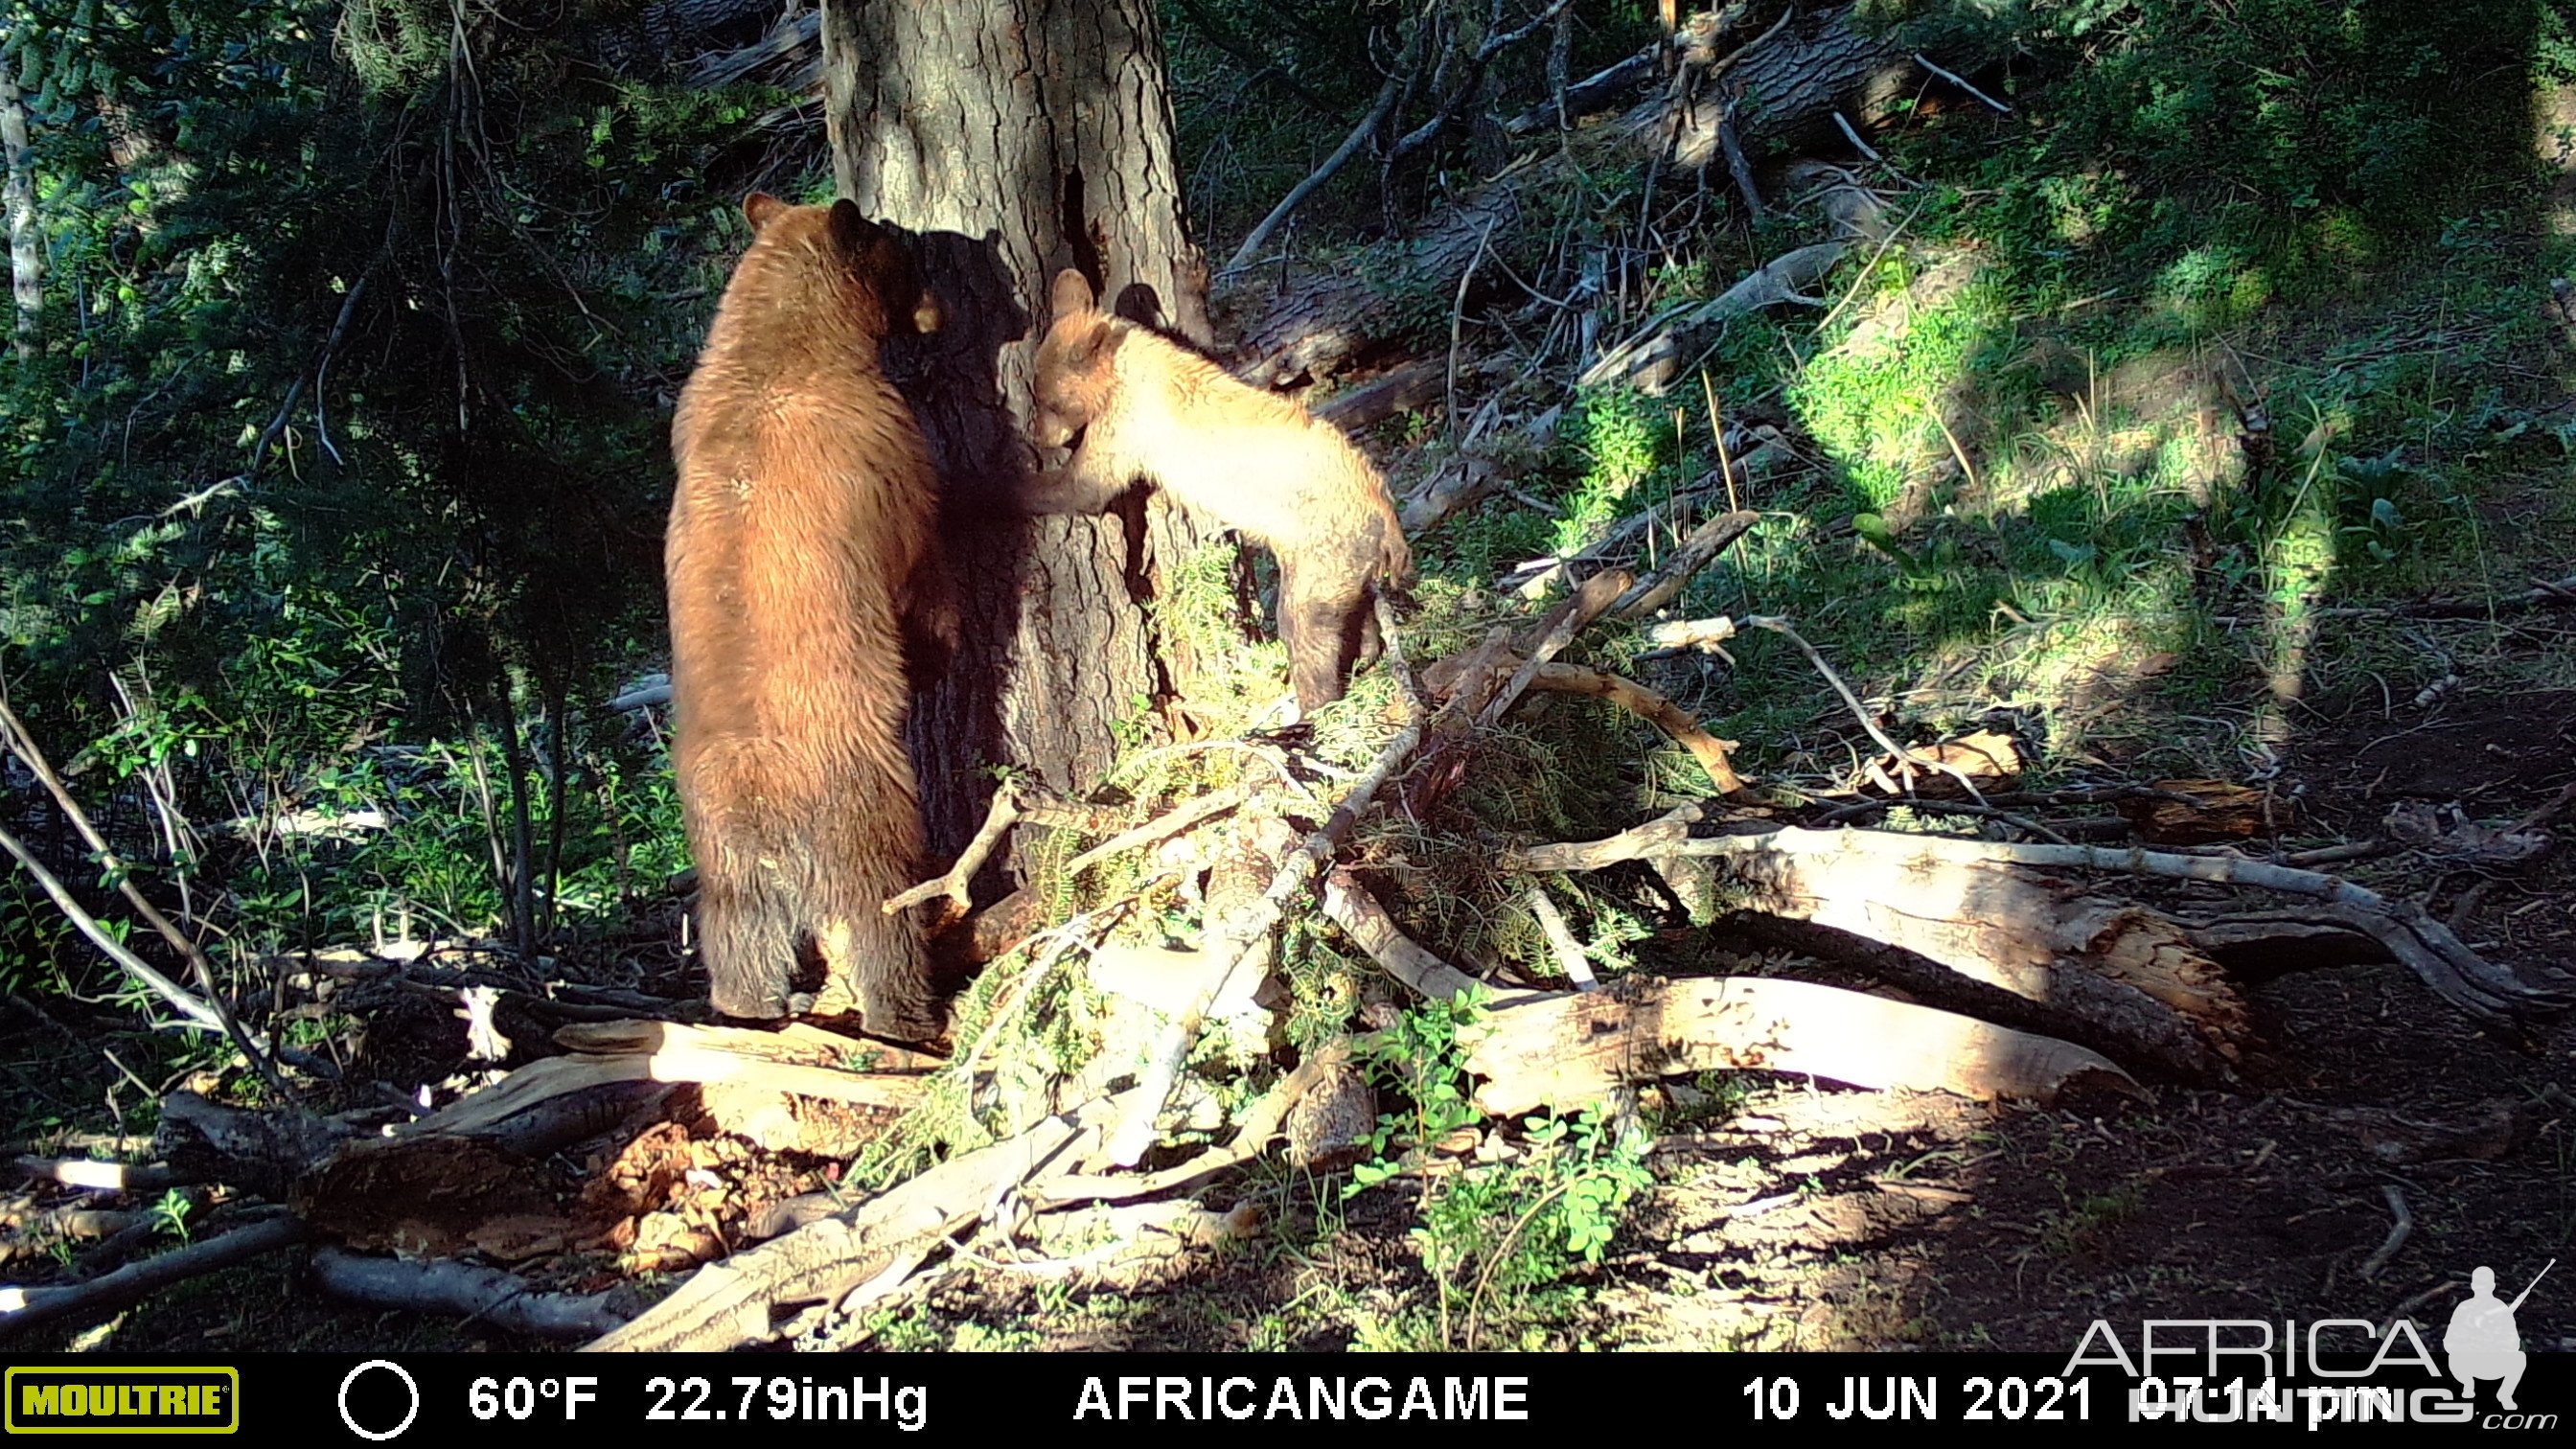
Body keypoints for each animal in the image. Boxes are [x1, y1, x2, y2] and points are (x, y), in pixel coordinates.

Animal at [664, 196, 957, 1036]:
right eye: (904, 250)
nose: (939, 307)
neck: (774, 350)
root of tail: (760, 808)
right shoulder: (883, 447)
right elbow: (921, 556)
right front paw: (942, 644)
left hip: (720, 856)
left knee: (737, 932)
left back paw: (749, 1008)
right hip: (864, 806)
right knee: (881, 909)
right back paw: (908, 1015)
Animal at [1020, 267, 1412, 711]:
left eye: (1052, 402)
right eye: (1037, 391)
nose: (1039, 436)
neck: (1127, 369)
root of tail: (1383, 503)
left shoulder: (1128, 423)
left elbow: (1084, 487)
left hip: (1324, 544)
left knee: (1305, 624)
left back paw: (1312, 704)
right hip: (1343, 556)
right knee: (1350, 609)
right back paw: (1364, 657)